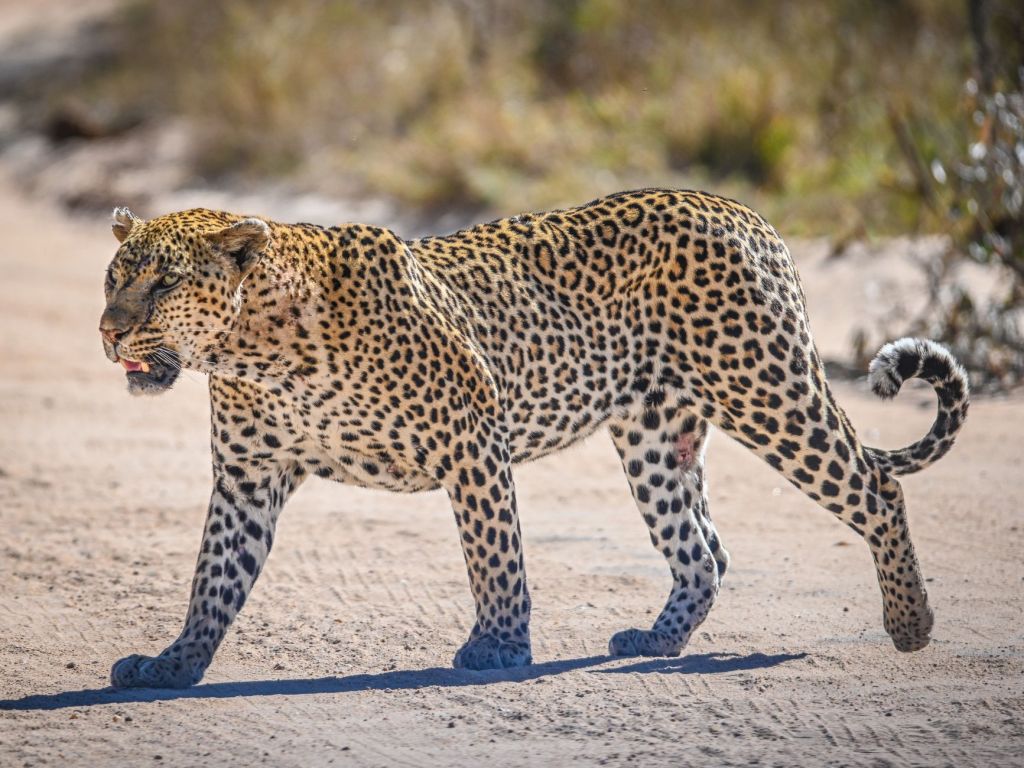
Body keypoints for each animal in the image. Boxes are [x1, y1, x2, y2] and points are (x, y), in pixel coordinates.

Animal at [98, 188, 969, 688]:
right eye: (114, 278)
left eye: (164, 283)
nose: (109, 331)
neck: (255, 348)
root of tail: (744, 212)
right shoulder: (248, 473)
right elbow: (215, 575)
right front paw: (175, 662)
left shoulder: (471, 438)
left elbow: (495, 555)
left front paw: (499, 647)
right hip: (654, 438)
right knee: (705, 548)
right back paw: (657, 639)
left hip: (764, 386)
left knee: (876, 488)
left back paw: (911, 624)